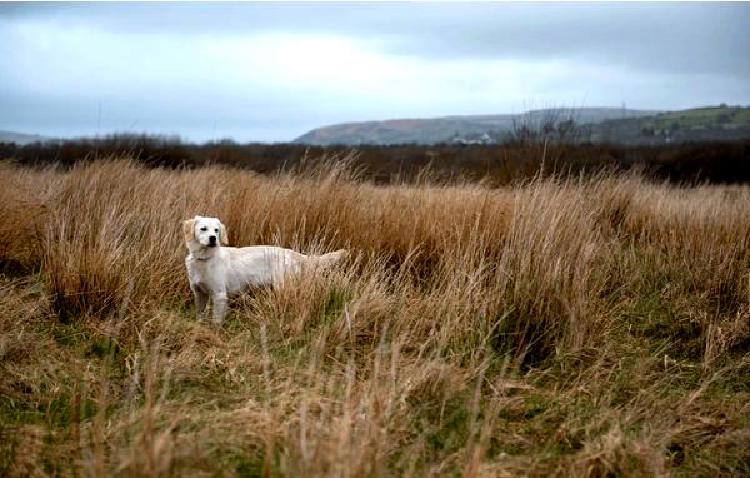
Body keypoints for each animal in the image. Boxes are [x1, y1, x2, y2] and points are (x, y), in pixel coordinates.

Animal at [184, 216, 348, 324]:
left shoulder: (219, 295)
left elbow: (216, 321)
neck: (204, 259)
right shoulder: (199, 293)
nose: (213, 238)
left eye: (216, 230)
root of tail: (293, 254)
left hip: (283, 287)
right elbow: (200, 315)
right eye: (203, 229)